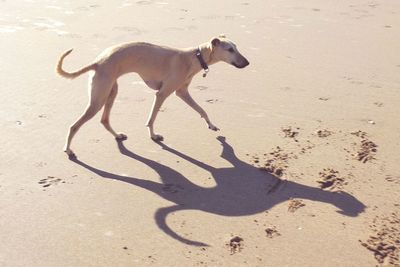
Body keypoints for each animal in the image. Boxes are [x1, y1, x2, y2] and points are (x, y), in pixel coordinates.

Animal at [56, 35, 250, 157]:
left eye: (236, 47)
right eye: (230, 49)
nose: (247, 63)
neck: (194, 57)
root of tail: (97, 62)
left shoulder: (181, 92)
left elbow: (202, 109)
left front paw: (211, 125)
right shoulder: (163, 93)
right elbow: (152, 118)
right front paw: (154, 136)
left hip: (110, 92)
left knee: (104, 120)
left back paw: (117, 135)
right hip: (98, 99)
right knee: (74, 126)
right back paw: (68, 150)